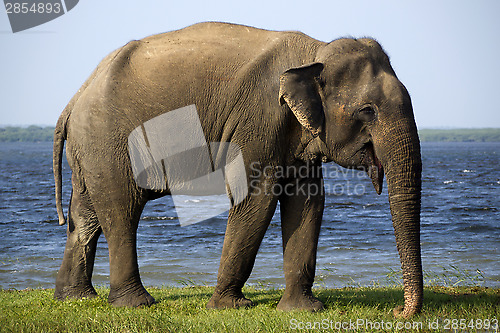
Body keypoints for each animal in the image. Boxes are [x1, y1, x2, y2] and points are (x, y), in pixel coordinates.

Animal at [53, 21, 422, 316]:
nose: (397, 312)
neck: (315, 51)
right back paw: (135, 303)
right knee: (122, 211)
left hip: (90, 152)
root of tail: (74, 99)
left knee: (85, 215)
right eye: (367, 111)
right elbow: (255, 199)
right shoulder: (259, 119)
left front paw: (304, 309)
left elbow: (308, 202)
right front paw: (229, 306)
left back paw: (76, 299)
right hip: (109, 142)